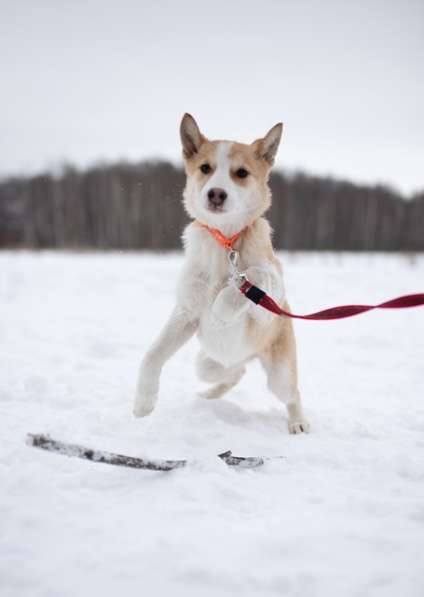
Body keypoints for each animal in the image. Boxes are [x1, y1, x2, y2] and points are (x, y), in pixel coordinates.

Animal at [134, 113, 310, 434]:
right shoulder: (186, 313)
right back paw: (208, 395)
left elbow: (255, 274)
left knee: (292, 393)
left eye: (241, 173)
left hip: (279, 374)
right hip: (207, 362)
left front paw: (223, 308)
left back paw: (298, 422)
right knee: (233, 373)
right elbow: (152, 354)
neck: (226, 240)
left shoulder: (268, 300)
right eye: (205, 168)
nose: (216, 193)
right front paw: (143, 402)